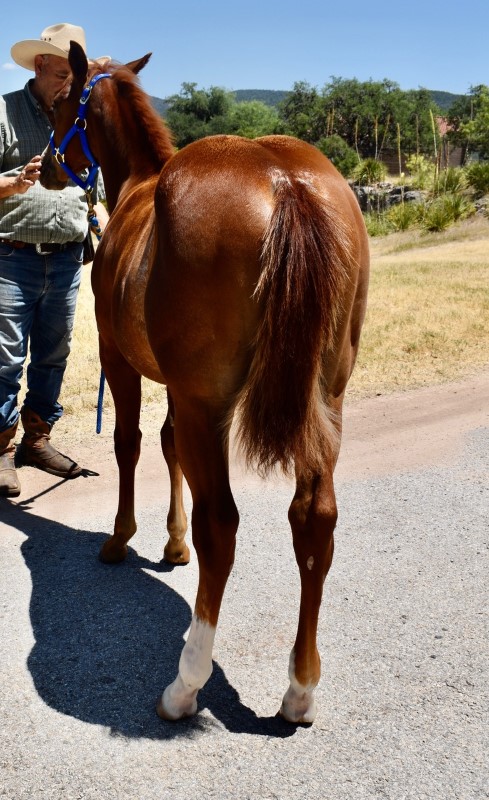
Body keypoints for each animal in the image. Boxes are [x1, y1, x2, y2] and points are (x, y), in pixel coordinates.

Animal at [42, 39, 368, 724]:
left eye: (59, 102)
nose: (48, 166)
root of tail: (283, 180)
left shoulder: (123, 360)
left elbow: (132, 444)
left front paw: (122, 539)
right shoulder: (178, 386)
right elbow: (168, 449)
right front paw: (172, 545)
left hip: (207, 402)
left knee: (222, 523)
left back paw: (185, 683)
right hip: (324, 399)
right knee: (315, 520)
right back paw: (300, 689)